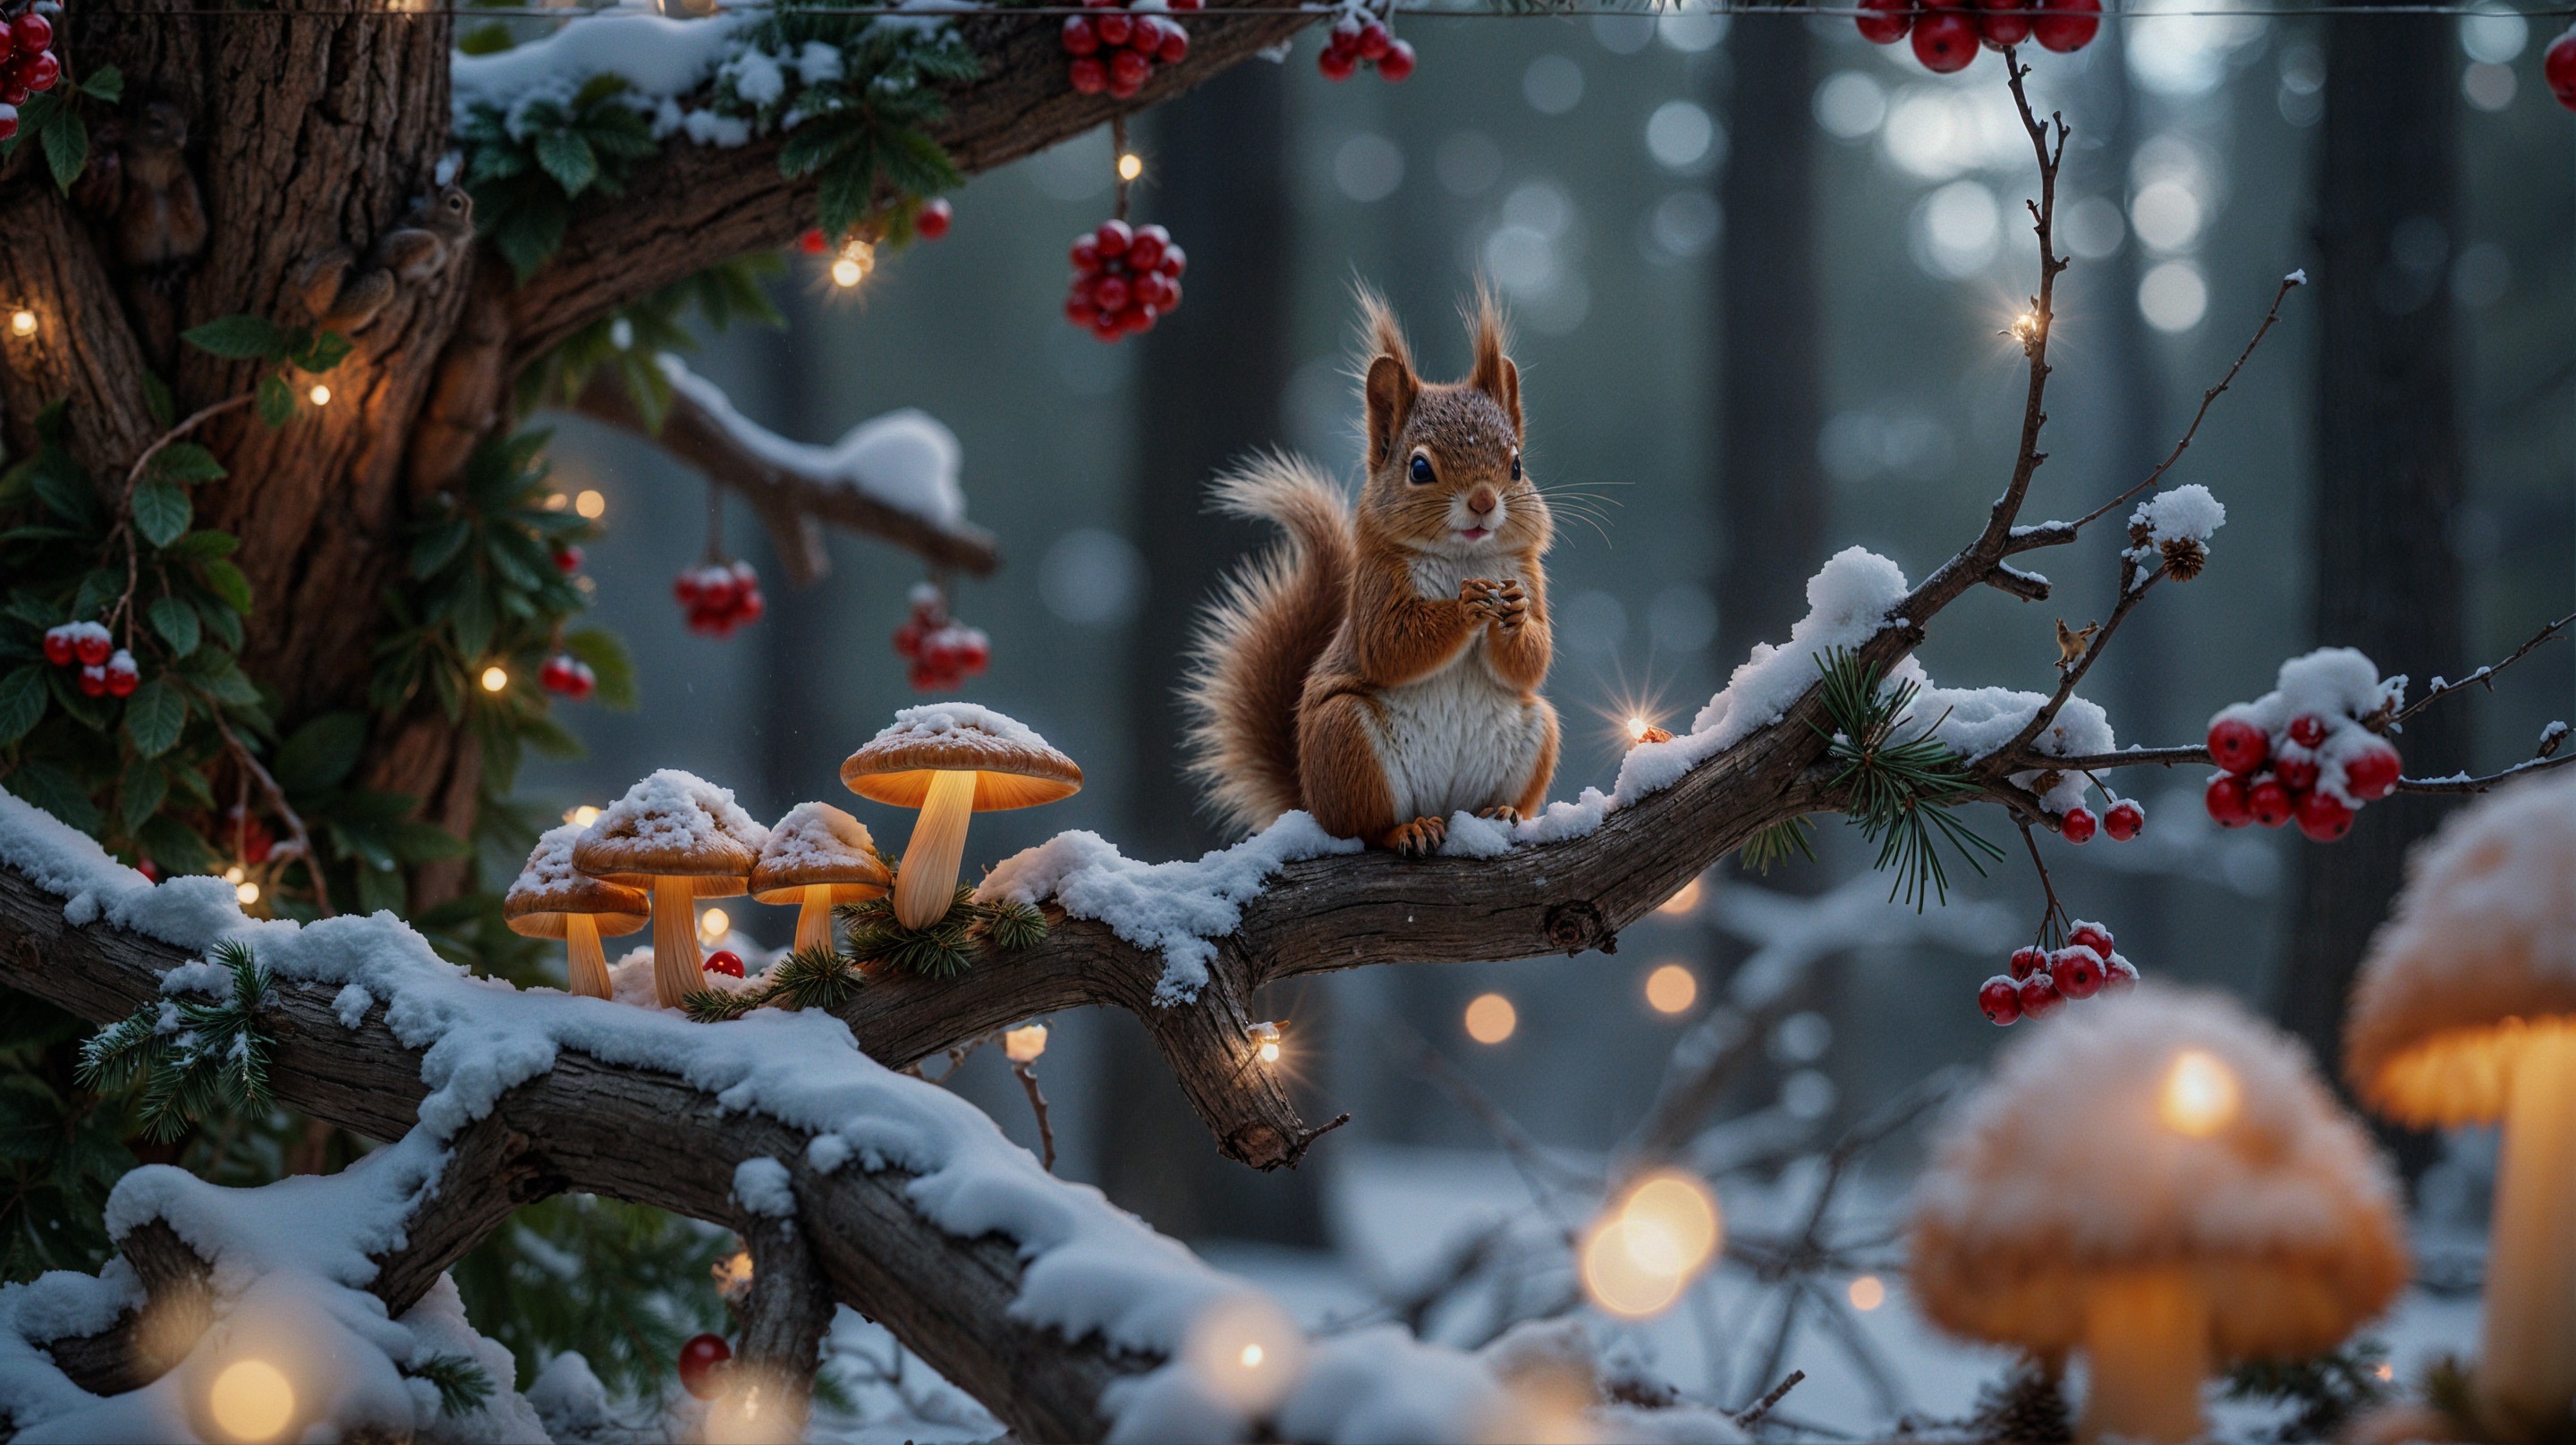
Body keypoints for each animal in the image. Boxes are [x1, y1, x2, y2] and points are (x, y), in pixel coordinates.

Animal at [1184, 289, 1556, 857]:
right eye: (1419, 468)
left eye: (1516, 465)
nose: (1483, 501)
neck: (1464, 559)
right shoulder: (1377, 584)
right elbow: (1391, 645)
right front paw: (1465, 609)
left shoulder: (1529, 576)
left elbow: (1532, 661)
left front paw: (1512, 617)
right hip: (1346, 741)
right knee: (1364, 827)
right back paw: (1409, 829)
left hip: (1537, 729)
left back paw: (1500, 811)